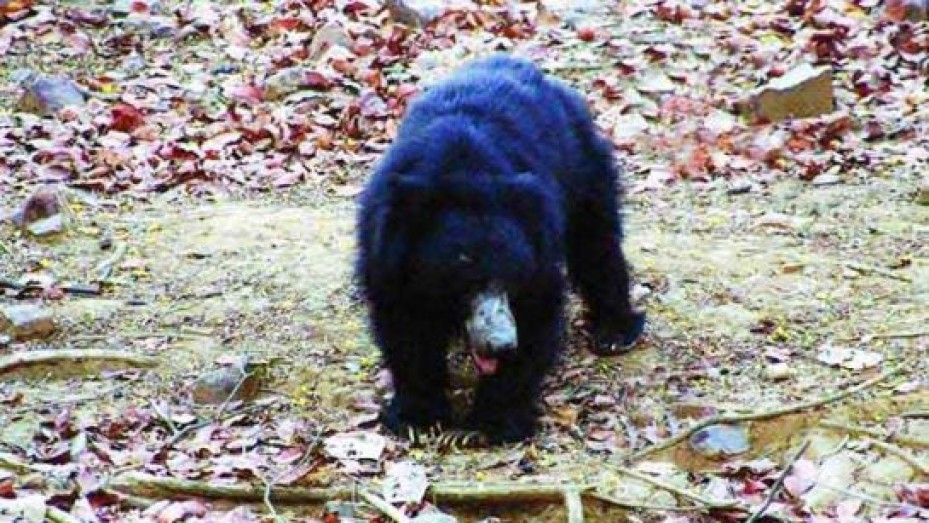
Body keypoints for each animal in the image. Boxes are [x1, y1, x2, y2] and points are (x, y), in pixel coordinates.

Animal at [355, 54, 646, 443]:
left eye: (513, 278)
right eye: (464, 280)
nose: (502, 343)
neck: (463, 175)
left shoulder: (538, 236)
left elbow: (537, 311)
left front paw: (491, 423)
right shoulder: (387, 247)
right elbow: (404, 325)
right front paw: (417, 416)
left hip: (583, 165)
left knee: (596, 243)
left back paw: (615, 331)